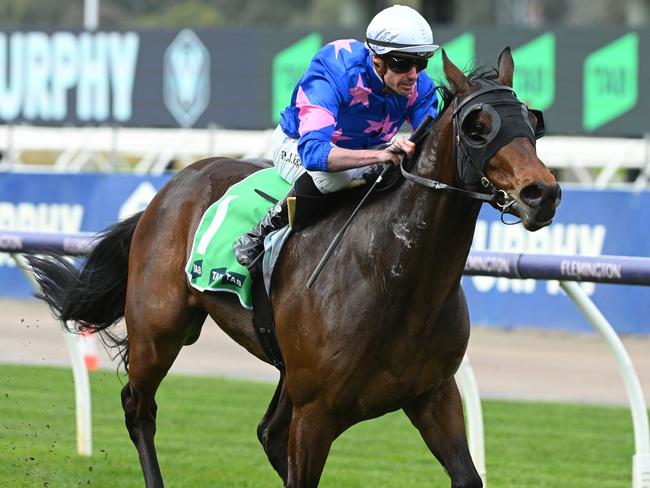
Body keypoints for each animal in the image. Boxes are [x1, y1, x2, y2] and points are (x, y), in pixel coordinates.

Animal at [29, 49, 556, 488]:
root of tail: (172, 185)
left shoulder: (433, 395)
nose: (543, 193)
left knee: (266, 432)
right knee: (139, 407)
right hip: (158, 330)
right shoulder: (316, 412)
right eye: (477, 126)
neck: (394, 275)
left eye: (532, 120)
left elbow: (467, 476)